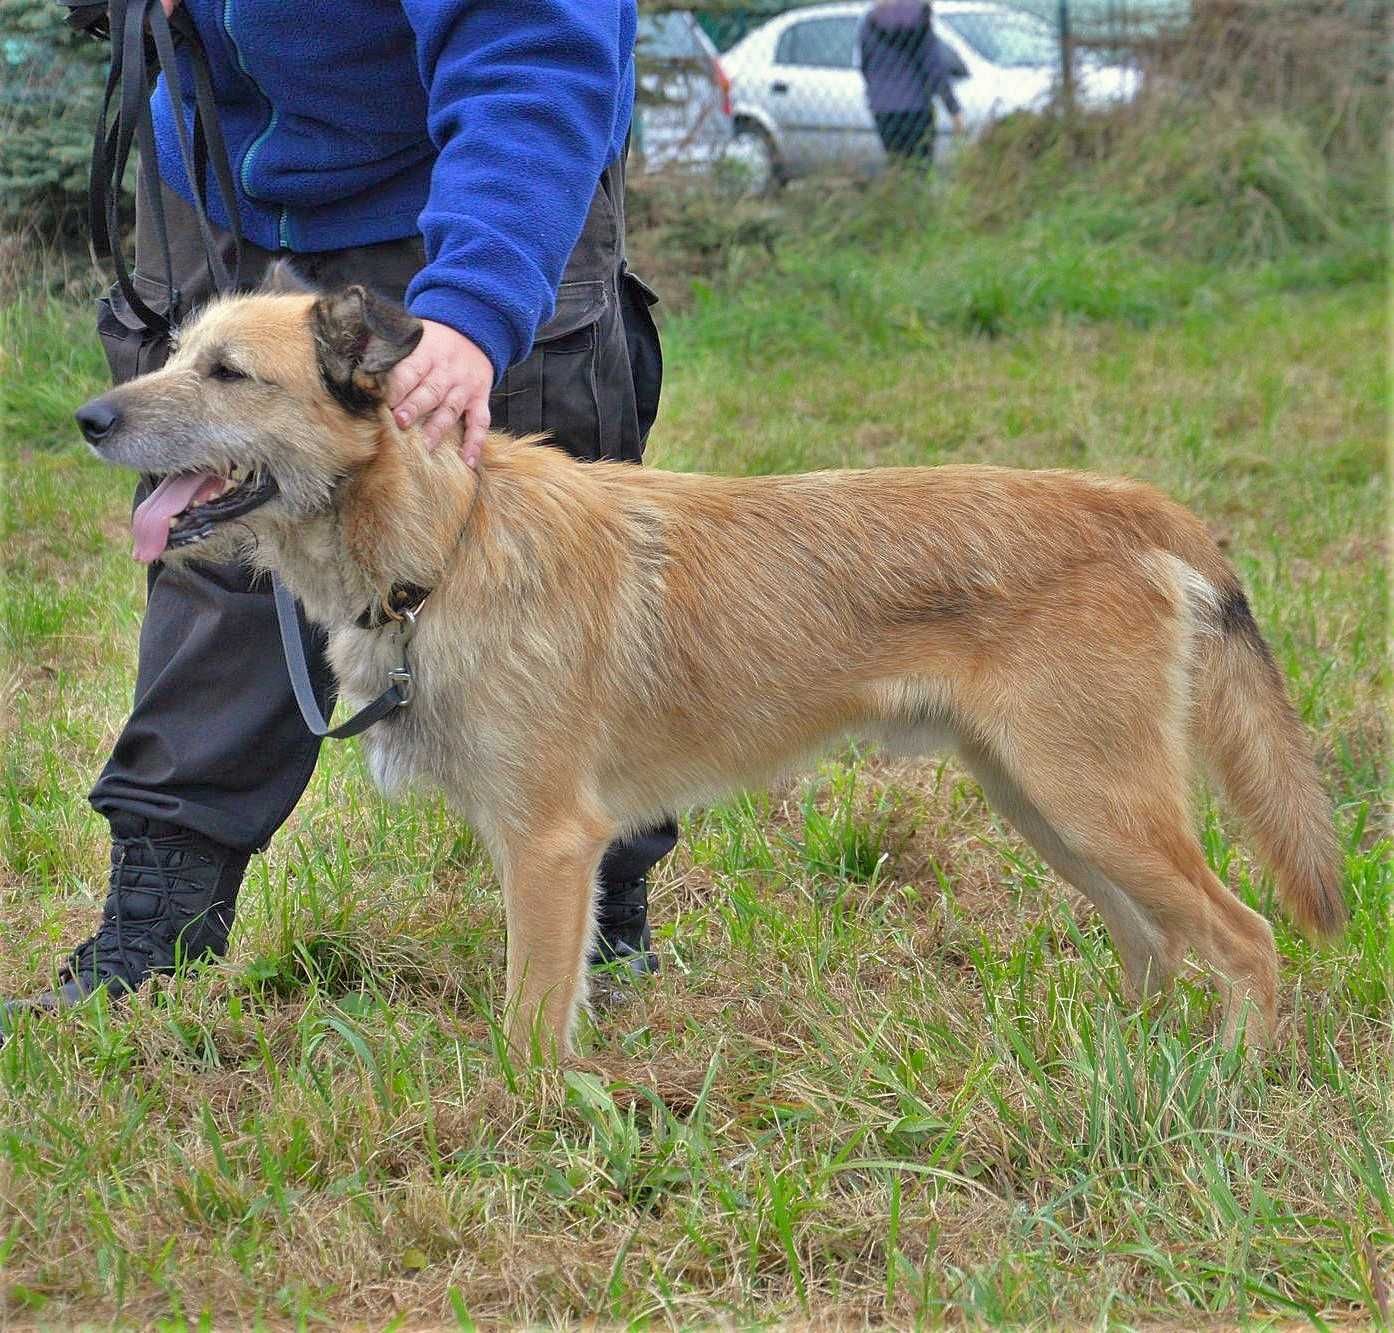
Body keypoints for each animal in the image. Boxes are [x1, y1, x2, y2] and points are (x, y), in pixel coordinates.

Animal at [73, 273, 1338, 1059]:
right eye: (173, 355)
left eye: (228, 374)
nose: (88, 417)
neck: (448, 538)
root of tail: (1126, 502)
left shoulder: (550, 849)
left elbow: (529, 1028)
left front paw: (516, 1132)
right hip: (1051, 807)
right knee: (1154, 943)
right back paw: (1124, 1060)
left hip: (1095, 803)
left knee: (1244, 938)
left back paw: (1222, 1079)